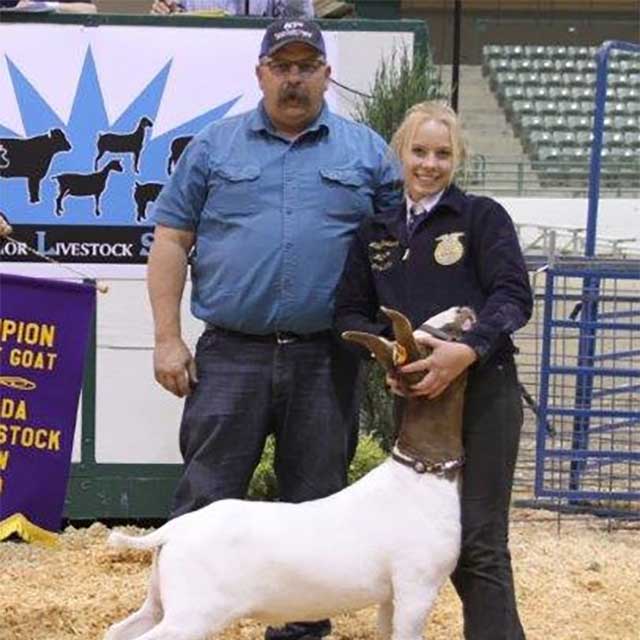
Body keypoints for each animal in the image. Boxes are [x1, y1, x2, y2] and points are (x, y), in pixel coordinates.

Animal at [106, 304, 476, 640]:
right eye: (437, 339)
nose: (464, 309)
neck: (420, 473)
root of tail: (172, 532)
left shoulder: (391, 597)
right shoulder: (417, 587)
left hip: (161, 602)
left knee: (118, 630)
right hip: (193, 614)